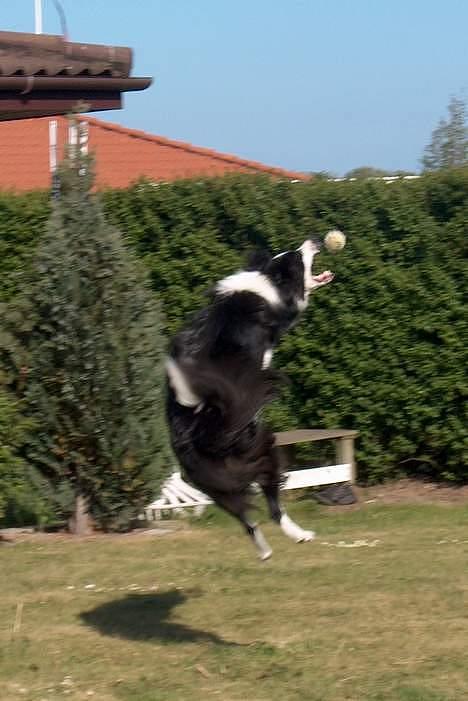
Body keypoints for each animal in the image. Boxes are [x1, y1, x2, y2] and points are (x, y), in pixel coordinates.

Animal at [165, 238, 332, 560]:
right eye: (297, 258)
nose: (316, 240)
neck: (266, 282)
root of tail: (196, 430)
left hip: (215, 480)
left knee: (246, 516)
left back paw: (271, 548)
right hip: (265, 448)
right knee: (272, 504)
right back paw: (297, 536)